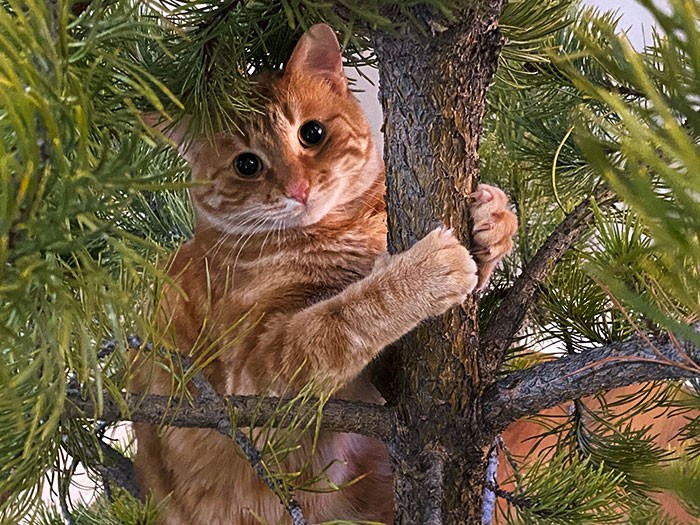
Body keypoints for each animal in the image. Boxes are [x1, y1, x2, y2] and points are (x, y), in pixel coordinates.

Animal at [131, 24, 516, 524]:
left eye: (311, 133)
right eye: (246, 164)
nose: (298, 189)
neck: (340, 229)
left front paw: (491, 221)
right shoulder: (255, 383)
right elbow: (346, 317)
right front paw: (421, 272)